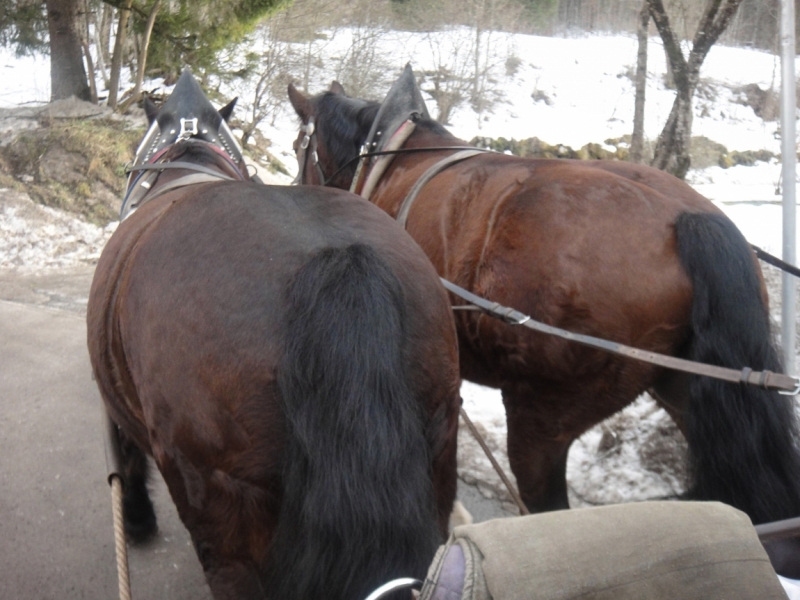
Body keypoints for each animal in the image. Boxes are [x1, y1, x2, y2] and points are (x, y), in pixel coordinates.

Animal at [87, 70, 460, 600]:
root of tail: (335, 260)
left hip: (223, 508)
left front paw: (136, 518)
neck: (190, 152)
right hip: (438, 451)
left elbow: (126, 454)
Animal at [288, 67, 800, 572]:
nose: (296, 191)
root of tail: (686, 218)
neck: (388, 157)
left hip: (542, 416)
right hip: (684, 391)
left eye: (298, 146)